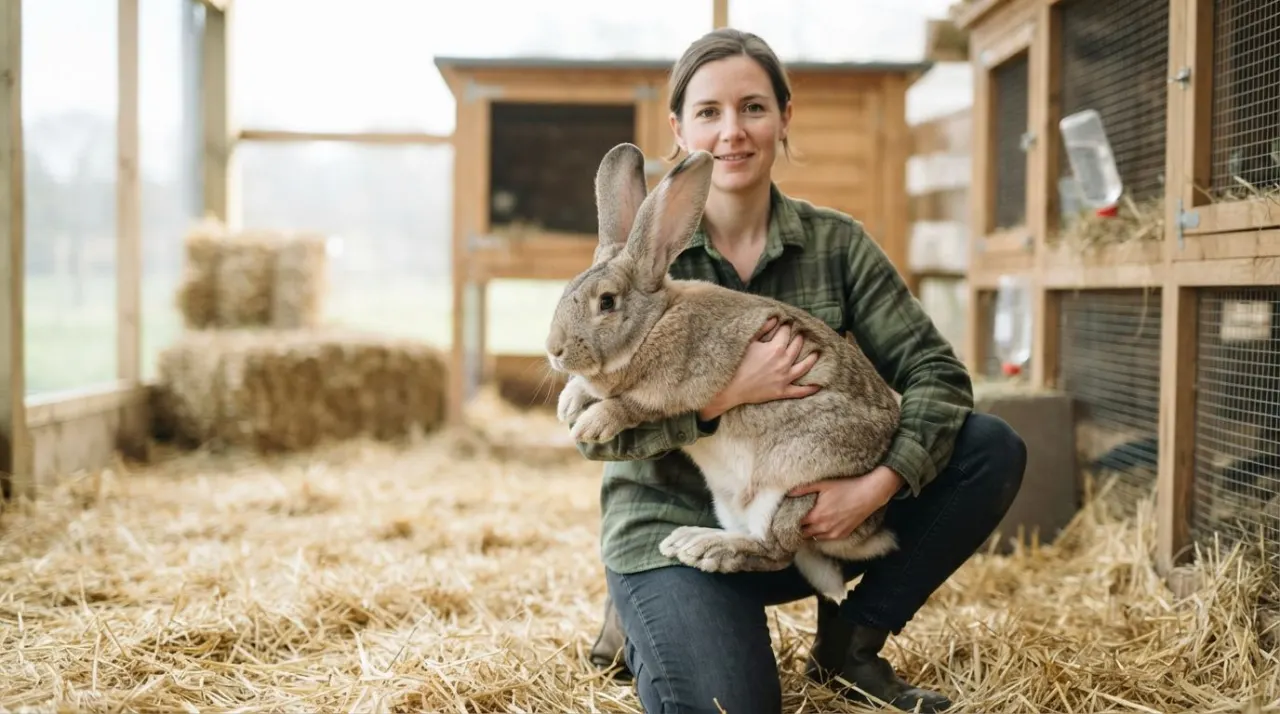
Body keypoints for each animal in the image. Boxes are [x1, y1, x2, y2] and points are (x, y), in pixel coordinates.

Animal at [544, 142, 902, 603]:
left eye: (606, 302)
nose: (554, 350)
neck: (654, 323)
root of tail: (868, 531)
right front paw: (569, 401)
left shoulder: (668, 393)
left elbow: (628, 407)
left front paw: (591, 423)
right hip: (733, 501)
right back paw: (692, 541)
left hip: (791, 489)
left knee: (774, 550)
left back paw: (707, 549)